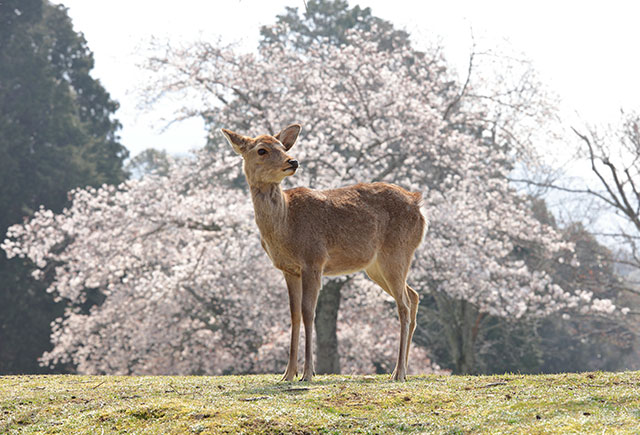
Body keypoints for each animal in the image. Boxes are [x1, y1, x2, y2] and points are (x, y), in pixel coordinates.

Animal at [221, 124, 426, 382]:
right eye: (262, 150)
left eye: (283, 147)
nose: (293, 161)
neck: (285, 224)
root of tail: (419, 206)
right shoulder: (289, 269)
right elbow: (294, 314)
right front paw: (287, 374)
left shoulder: (314, 259)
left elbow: (309, 312)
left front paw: (308, 373)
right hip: (376, 266)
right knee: (414, 296)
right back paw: (402, 370)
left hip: (397, 251)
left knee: (404, 305)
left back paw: (398, 372)